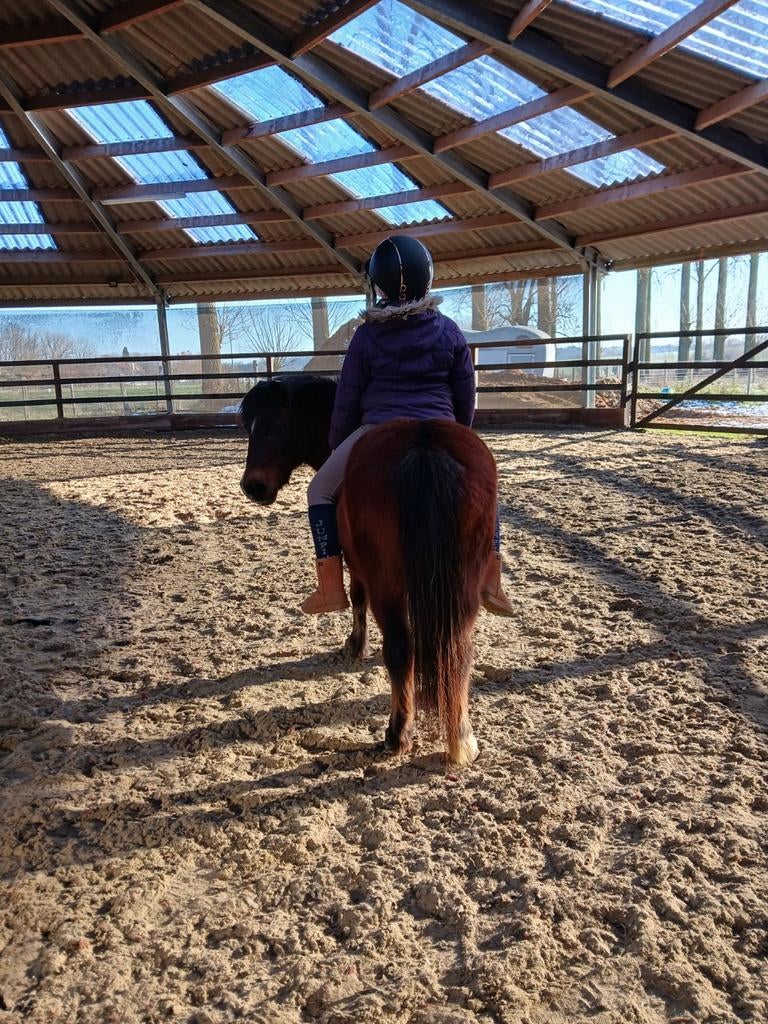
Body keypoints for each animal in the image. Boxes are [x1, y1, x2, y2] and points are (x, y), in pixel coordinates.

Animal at [239, 374, 498, 765]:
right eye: (249, 428)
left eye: (278, 426)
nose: (253, 486)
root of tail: (423, 445)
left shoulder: (360, 568)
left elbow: (357, 598)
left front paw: (355, 645)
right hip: (463, 585)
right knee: (458, 650)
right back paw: (462, 739)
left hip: (387, 584)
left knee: (401, 649)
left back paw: (397, 734)